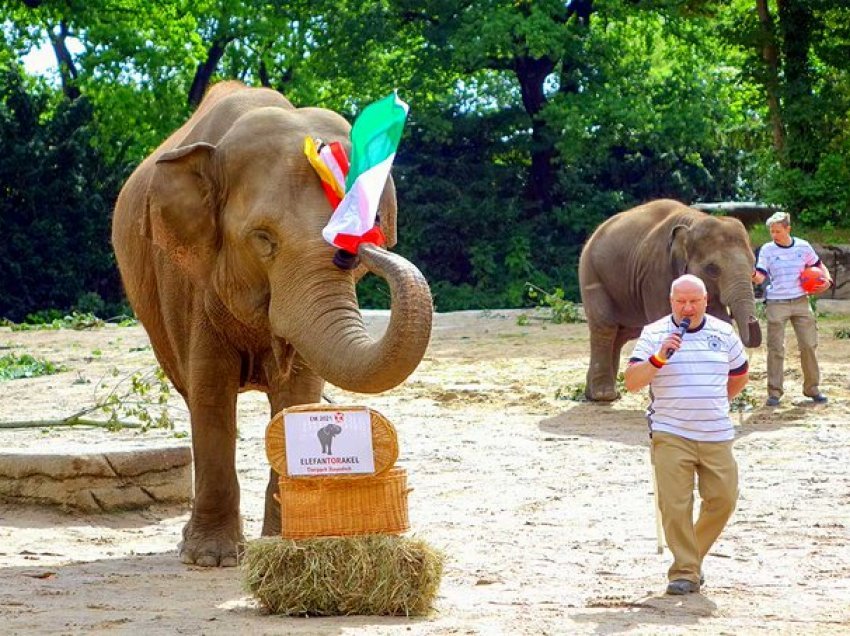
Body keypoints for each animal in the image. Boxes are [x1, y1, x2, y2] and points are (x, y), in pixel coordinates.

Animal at [110, 83, 434, 568]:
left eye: (372, 224)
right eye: (263, 239)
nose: (363, 249)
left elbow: (298, 392)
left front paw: (286, 539)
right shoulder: (186, 279)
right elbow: (210, 390)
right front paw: (211, 559)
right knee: (189, 391)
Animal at [576, 196, 760, 400]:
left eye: (753, 269)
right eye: (712, 269)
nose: (753, 319)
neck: (694, 220)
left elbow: (718, 320)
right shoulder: (655, 273)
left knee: (622, 333)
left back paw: (596, 394)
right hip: (591, 274)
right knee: (606, 327)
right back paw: (604, 395)